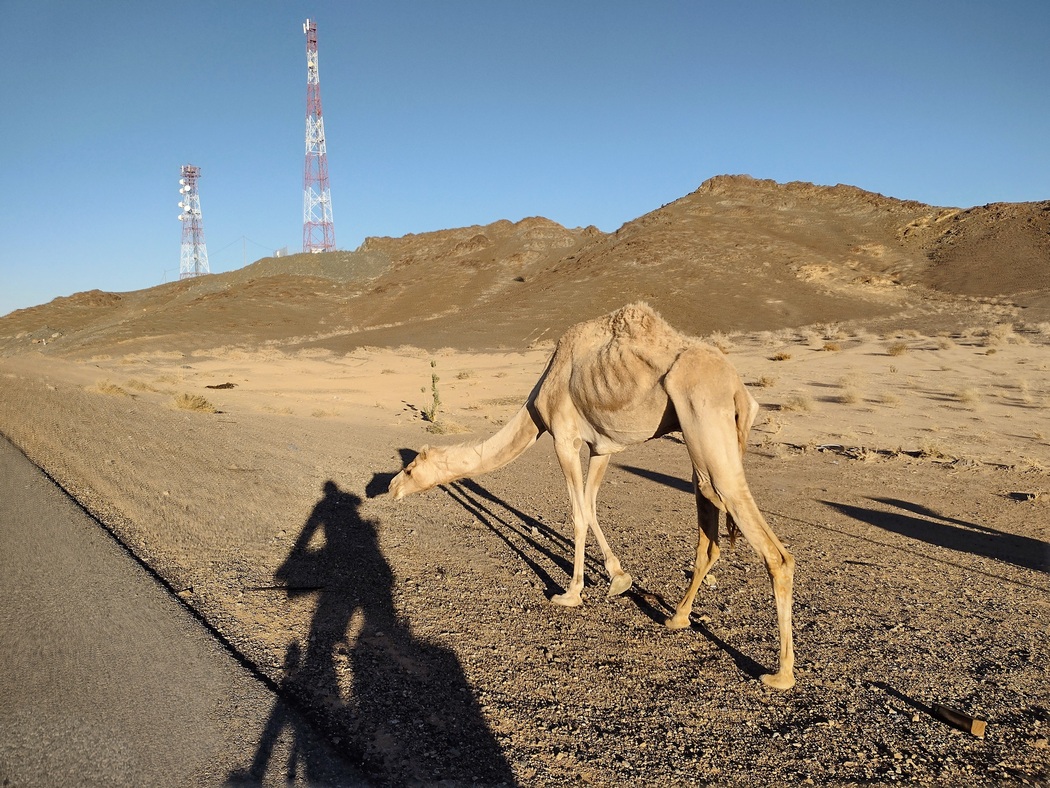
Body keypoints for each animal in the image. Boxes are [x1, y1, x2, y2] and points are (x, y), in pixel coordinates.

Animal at [388, 303, 795, 689]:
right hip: (703, 444)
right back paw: (677, 617)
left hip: (706, 424)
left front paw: (570, 593)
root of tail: (739, 389)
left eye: (409, 469)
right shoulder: (602, 447)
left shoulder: (564, 437)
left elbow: (578, 513)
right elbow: (592, 506)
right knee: (709, 537)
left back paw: (780, 674)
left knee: (773, 551)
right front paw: (619, 578)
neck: (538, 399)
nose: (391, 488)